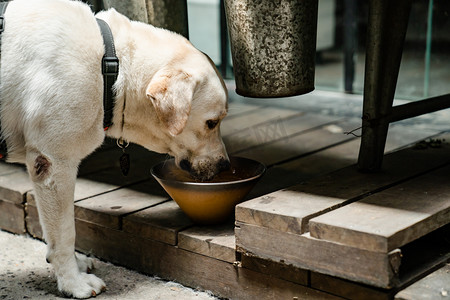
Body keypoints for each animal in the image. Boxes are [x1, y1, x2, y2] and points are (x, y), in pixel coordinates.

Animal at [0, 0, 229, 296]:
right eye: (212, 122)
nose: (225, 166)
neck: (111, 67)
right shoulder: (53, 164)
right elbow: (65, 231)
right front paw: (73, 283)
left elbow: (57, 230)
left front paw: (73, 266)